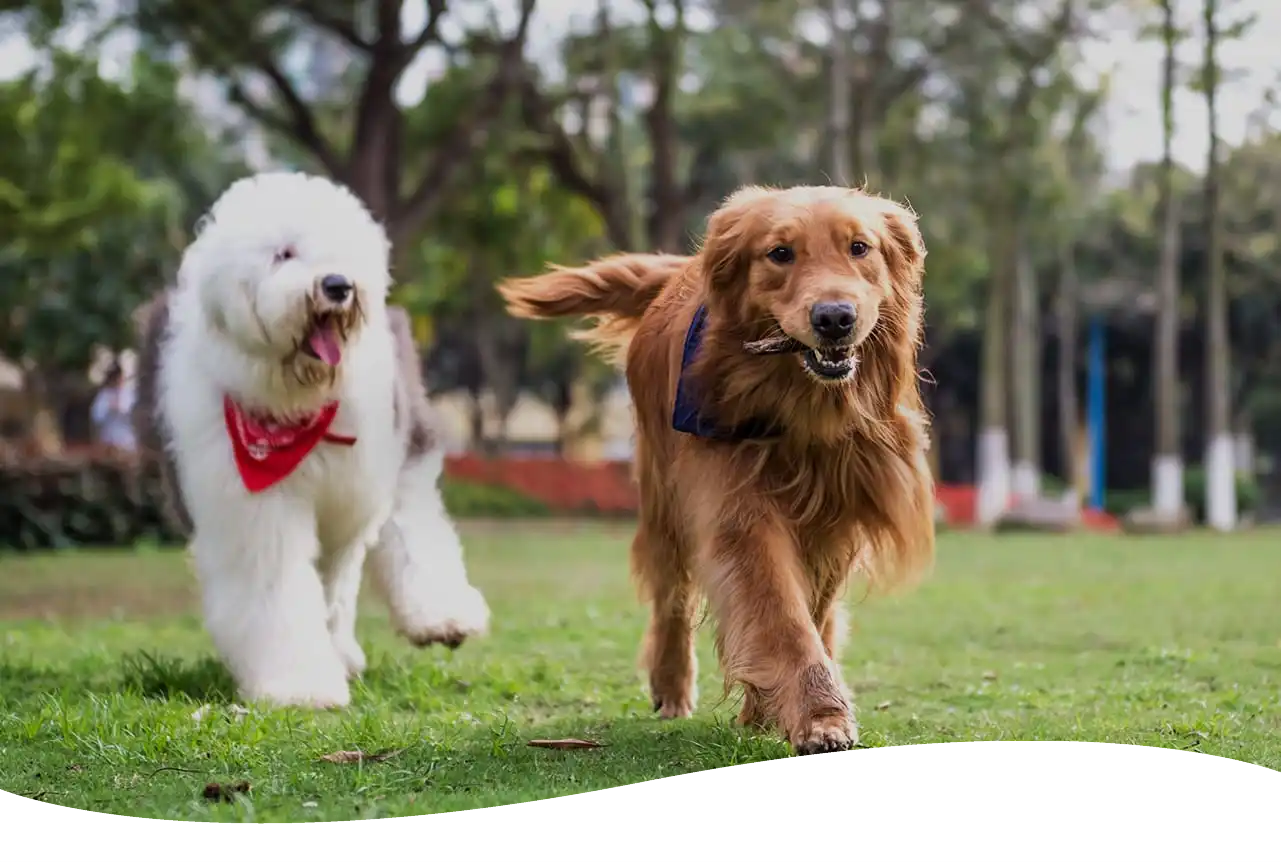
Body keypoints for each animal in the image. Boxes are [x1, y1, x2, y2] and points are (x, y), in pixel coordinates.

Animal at [133, 170, 484, 706]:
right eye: (284, 253)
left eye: (341, 248)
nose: (337, 285)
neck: (295, 403)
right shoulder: (253, 507)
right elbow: (278, 587)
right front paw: (301, 685)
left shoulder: (355, 488)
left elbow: (342, 576)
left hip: (401, 437)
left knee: (411, 521)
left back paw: (440, 618)